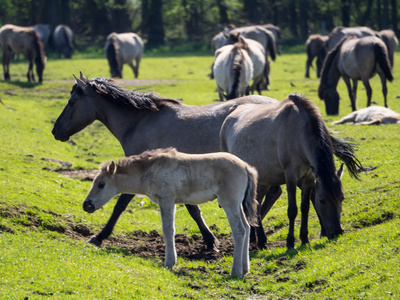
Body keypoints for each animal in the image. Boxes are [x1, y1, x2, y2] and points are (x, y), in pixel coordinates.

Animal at [51, 73, 280, 251]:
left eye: (71, 102)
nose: (55, 130)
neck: (140, 122)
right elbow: (193, 209)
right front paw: (209, 240)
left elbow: (120, 205)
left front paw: (99, 236)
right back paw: (256, 234)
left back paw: (257, 235)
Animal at [220, 95, 364, 250]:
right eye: (322, 200)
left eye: (342, 198)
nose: (337, 232)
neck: (299, 133)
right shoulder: (291, 176)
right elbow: (292, 210)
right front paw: (290, 242)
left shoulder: (308, 177)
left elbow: (305, 207)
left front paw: (304, 239)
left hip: (263, 179)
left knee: (256, 205)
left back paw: (260, 240)